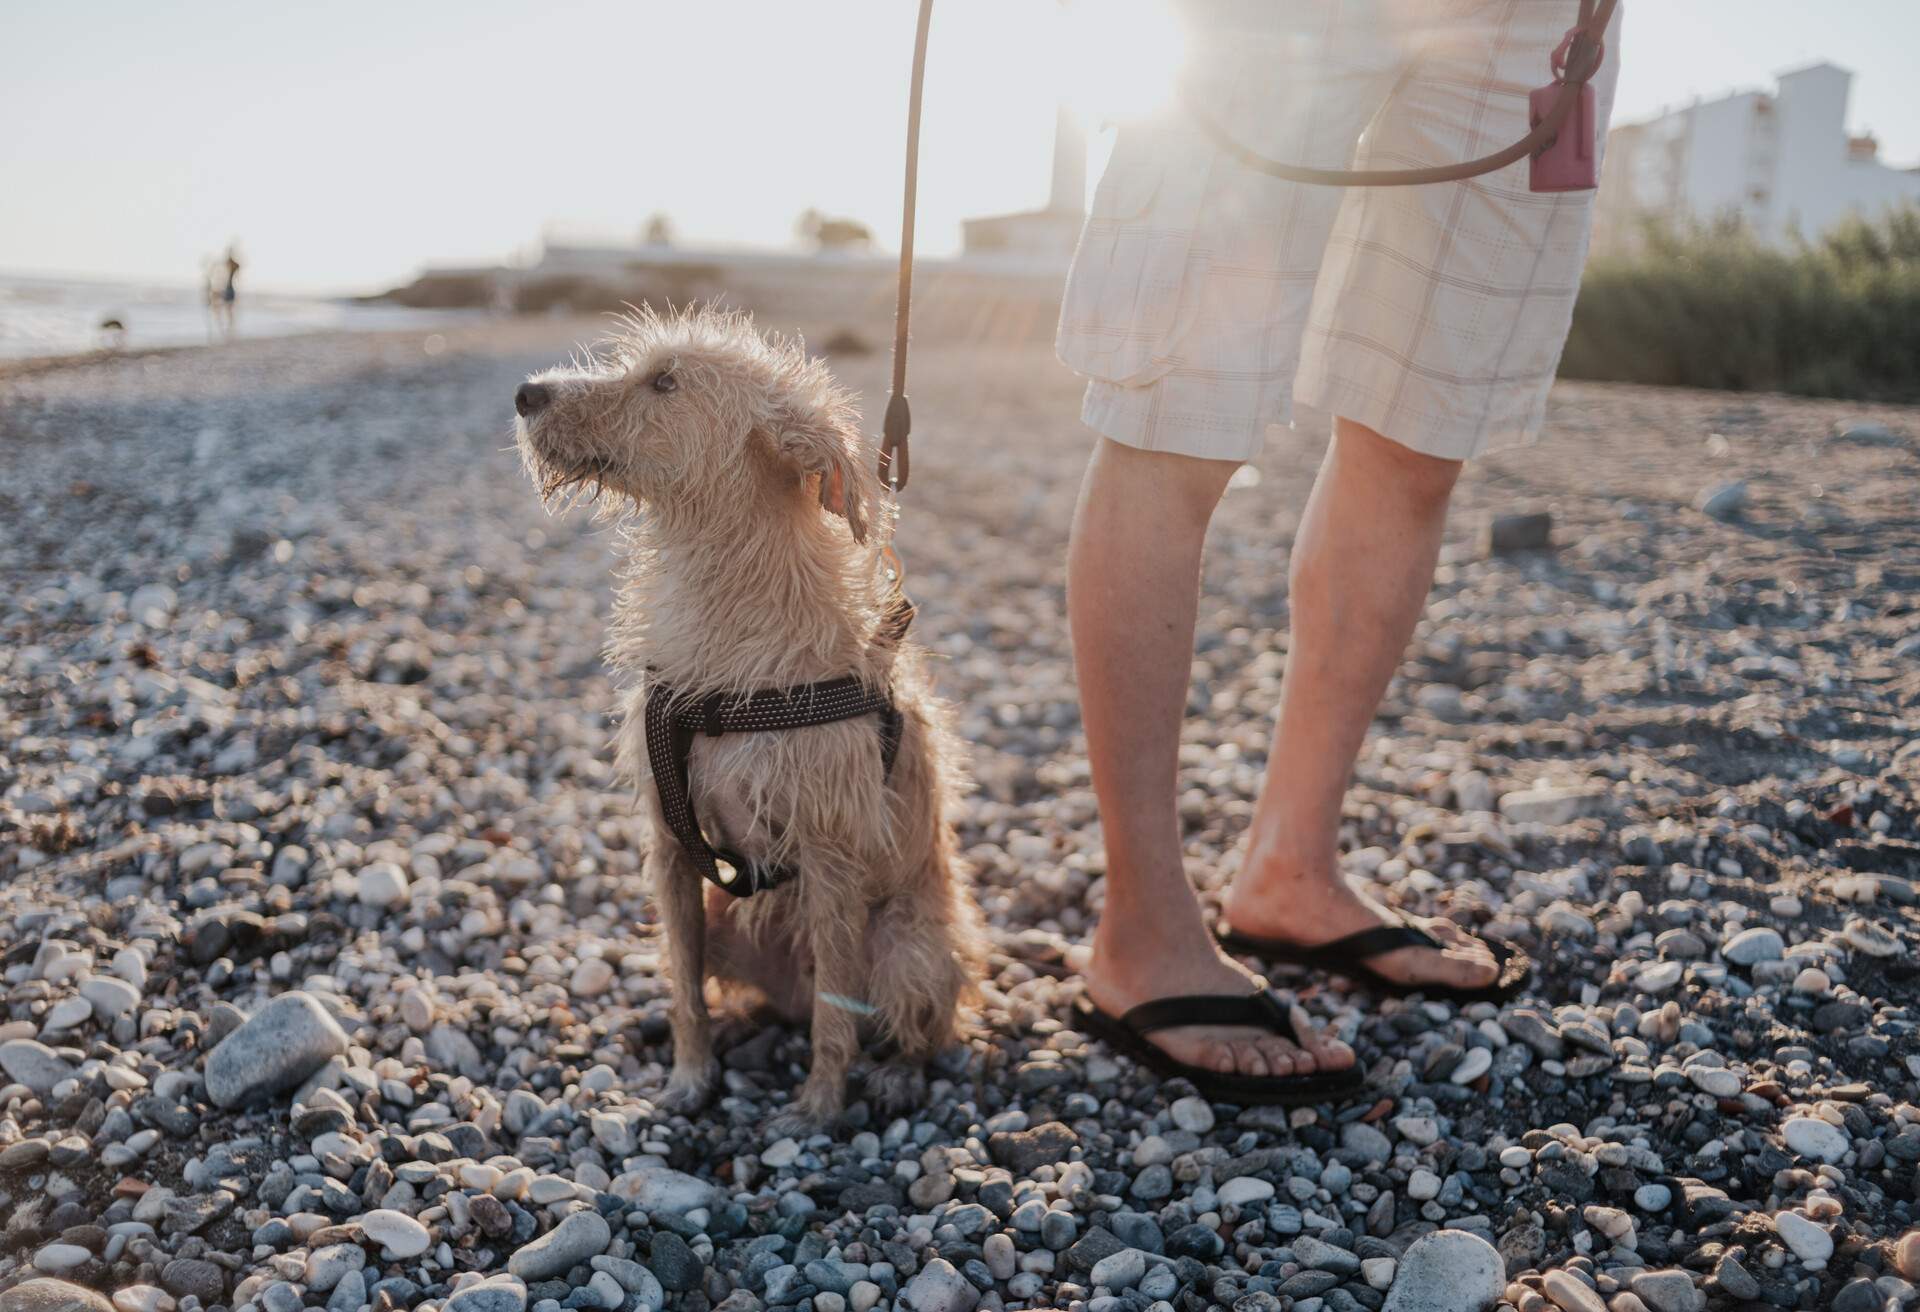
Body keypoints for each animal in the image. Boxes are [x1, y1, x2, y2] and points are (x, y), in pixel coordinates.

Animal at [514, 307, 983, 1129]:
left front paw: (821, 1103)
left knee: (910, 1019)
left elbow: (836, 1011)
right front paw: (690, 1075)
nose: (526, 394)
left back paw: (896, 1074)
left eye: (665, 382)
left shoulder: (830, 857)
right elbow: (683, 985)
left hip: (907, 944)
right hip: (727, 921)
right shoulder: (672, 847)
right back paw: (740, 1023)